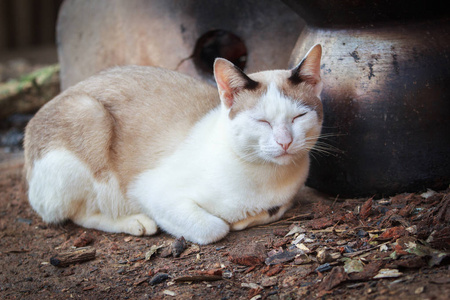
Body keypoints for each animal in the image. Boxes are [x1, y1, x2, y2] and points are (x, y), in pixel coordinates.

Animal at [22, 44, 324, 245]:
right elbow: (214, 228)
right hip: (88, 114)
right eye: (262, 121)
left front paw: (244, 218)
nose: (285, 142)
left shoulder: (282, 203)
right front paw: (229, 222)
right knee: (79, 213)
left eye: (298, 117)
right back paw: (137, 222)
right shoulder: (150, 192)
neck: (267, 178)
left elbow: (268, 211)